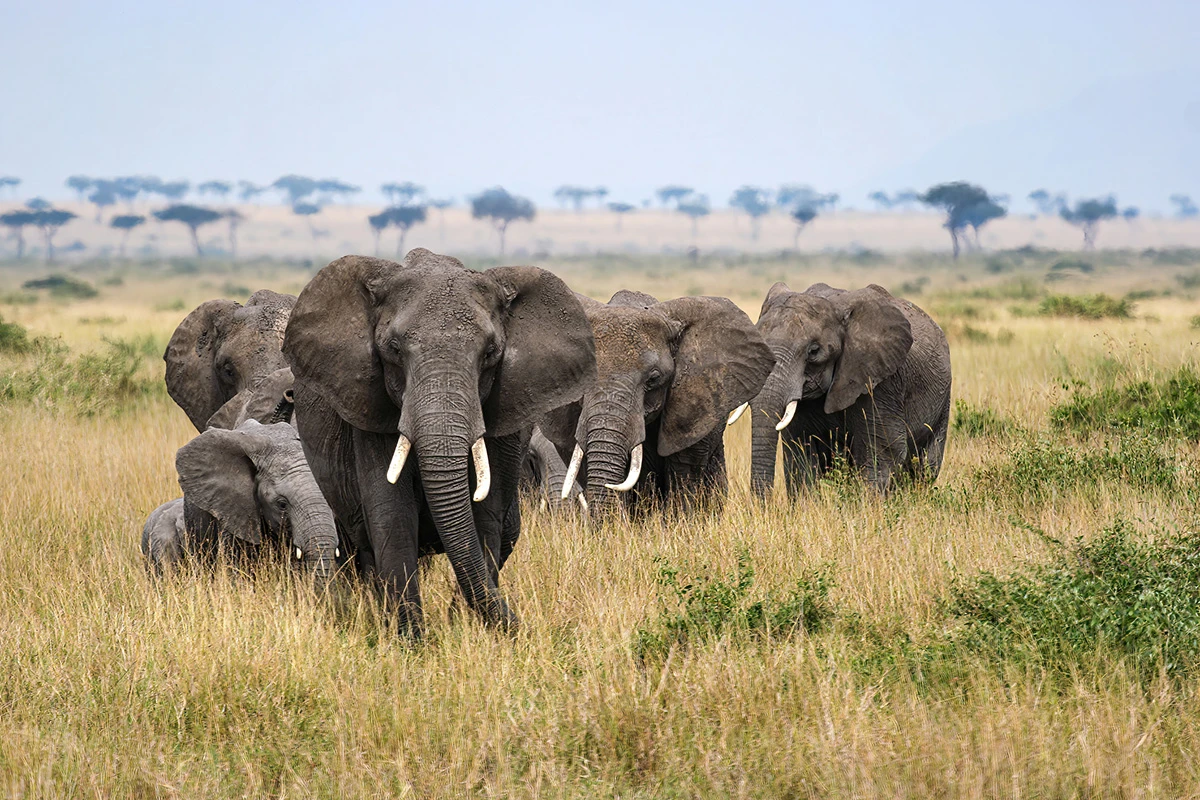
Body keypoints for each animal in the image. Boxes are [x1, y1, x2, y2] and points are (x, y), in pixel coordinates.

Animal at [281, 250, 596, 633]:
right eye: (393, 349)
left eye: (491, 352)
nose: (525, 629)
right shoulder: (371, 411)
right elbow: (392, 515)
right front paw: (411, 641)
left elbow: (484, 518)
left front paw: (466, 631)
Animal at [748, 282, 951, 496]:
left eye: (814, 351)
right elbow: (800, 451)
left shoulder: (881, 382)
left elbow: (880, 450)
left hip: (943, 401)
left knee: (927, 465)